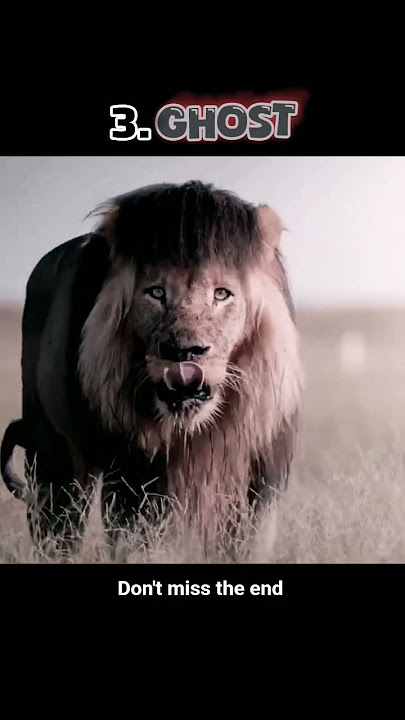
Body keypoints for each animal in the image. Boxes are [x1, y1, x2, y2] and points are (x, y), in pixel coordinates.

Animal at [0, 180, 303, 560]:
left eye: (221, 294)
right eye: (156, 293)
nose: (184, 351)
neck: (194, 430)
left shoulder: (263, 467)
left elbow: (250, 539)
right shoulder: (132, 472)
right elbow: (135, 538)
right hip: (53, 452)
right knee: (57, 526)